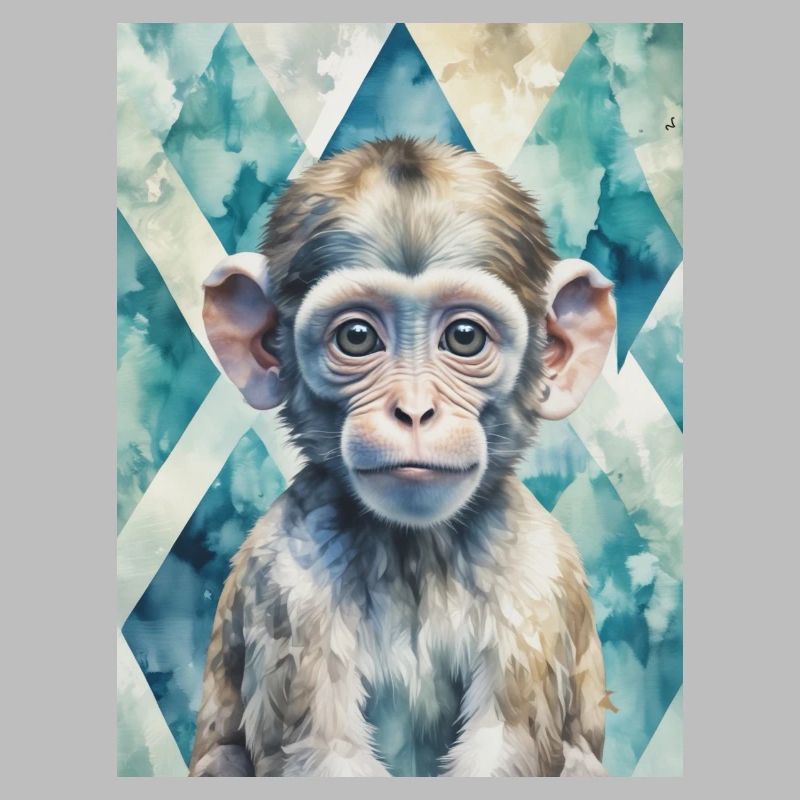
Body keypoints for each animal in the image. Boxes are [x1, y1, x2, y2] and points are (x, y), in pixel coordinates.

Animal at [189, 137, 616, 777]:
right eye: (357, 337)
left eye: (464, 337)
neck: (415, 550)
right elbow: (320, 754)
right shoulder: (287, 577)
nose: (414, 411)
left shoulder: (537, 576)